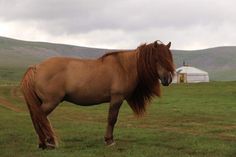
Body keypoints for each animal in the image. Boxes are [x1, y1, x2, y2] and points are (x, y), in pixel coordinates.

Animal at [20, 40, 175, 148]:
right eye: (157, 59)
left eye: (169, 59)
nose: (167, 79)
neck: (123, 67)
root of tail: (36, 67)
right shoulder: (117, 99)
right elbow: (112, 119)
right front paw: (109, 140)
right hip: (51, 102)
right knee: (39, 117)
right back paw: (47, 143)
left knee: (38, 118)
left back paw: (44, 143)